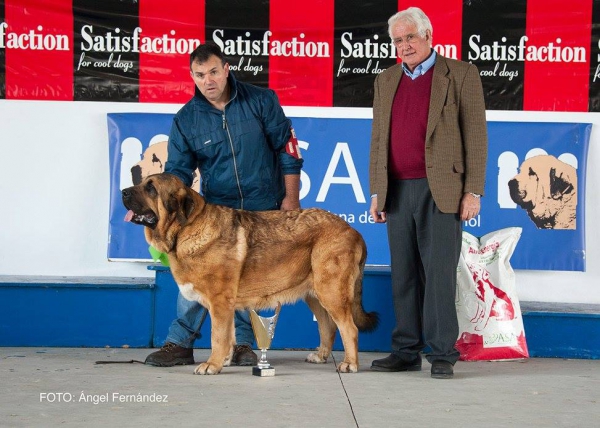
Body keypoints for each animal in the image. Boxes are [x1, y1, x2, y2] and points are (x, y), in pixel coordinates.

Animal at [122, 174, 378, 374]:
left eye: (151, 188)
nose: (123, 192)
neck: (187, 228)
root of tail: (353, 230)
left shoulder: (220, 302)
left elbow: (217, 336)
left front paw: (211, 365)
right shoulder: (225, 306)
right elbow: (228, 335)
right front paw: (224, 360)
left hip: (331, 291)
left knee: (349, 328)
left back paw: (350, 363)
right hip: (314, 294)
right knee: (328, 325)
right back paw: (321, 355)